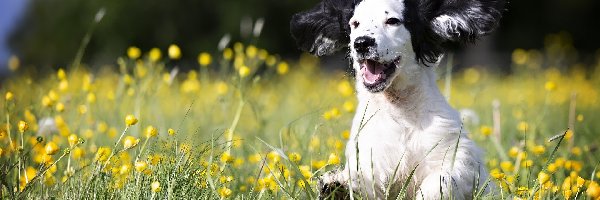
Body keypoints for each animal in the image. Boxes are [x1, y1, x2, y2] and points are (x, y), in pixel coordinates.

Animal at [290, 0, 506, 198]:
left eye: (392, 21)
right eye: (355, 23)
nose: (361, 43)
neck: (401, 112)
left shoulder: (456, 156)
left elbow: (442, 179)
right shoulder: (371, 159)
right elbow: (362, 181)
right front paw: (335, 186)